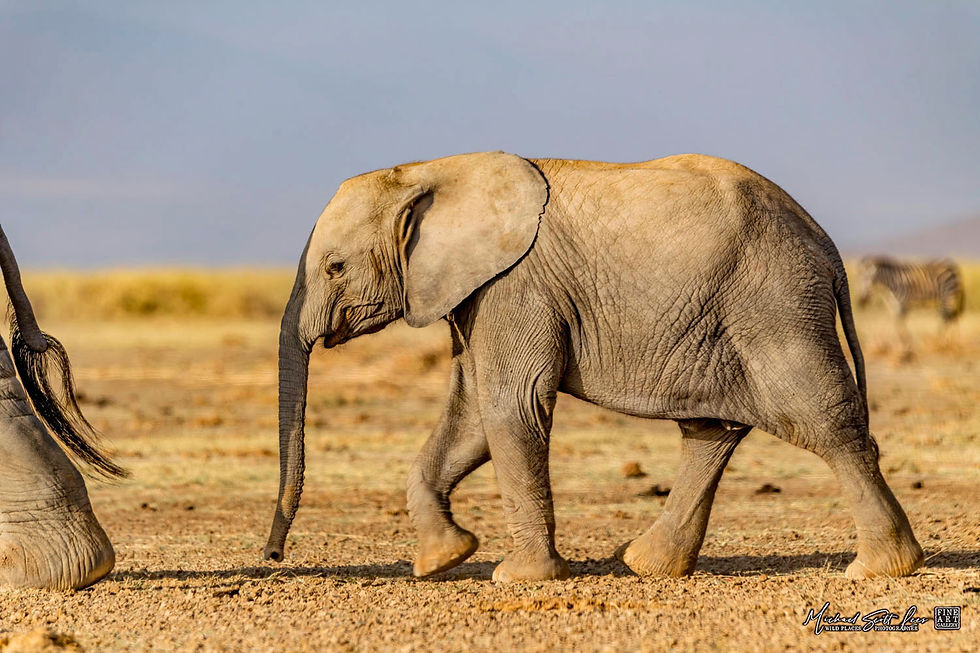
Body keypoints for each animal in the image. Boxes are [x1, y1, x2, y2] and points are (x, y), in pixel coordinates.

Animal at [263, 152, 924, 582]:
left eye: (335, 268)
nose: (272, 556)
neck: (434, 170)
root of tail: (828, 246)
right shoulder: (475, 295)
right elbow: (473, 414)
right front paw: (443, 559)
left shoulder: (515, 286)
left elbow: (510, 406)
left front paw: (519, 579)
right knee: (712, 431)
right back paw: (648, 567)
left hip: (775, 303)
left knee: (824, 421)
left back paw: (880, 570)